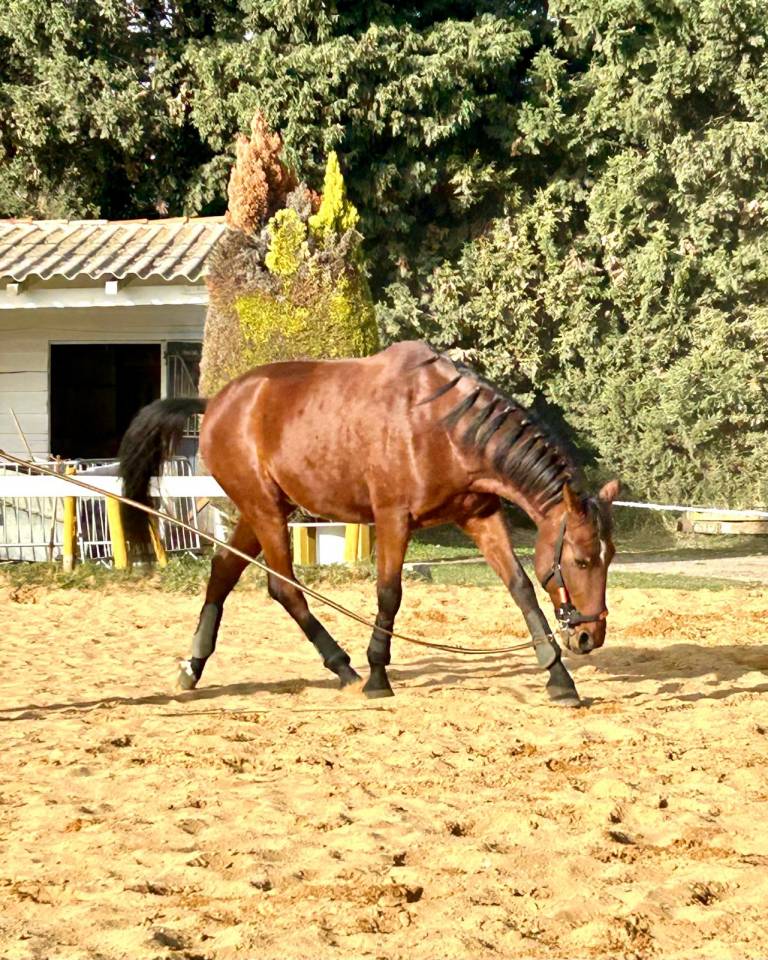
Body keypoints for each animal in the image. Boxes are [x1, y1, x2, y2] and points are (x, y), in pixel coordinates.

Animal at [118, 340, 619, 707]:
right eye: (580, 559)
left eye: (608, 557)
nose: (589, 635)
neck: (443, 426)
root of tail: (218, 401)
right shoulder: (393, 518)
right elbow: (389, 594)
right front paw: (379, 674)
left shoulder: (479, 515)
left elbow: (520, 588)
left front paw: (559, 678)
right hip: (265, 511)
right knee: (284, 588)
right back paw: (344, 667)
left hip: (262, 510)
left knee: (223, 572)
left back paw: (192, 666)